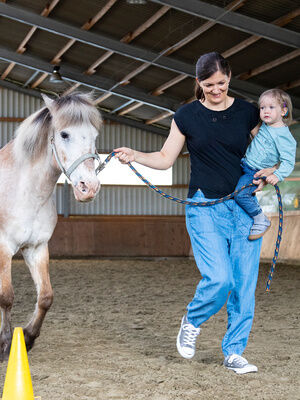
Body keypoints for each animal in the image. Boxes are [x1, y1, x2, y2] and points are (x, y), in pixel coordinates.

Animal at [0, 94, 101, 360]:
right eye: (64, 134)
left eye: (94, 136)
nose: (89, 187)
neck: (23, 189)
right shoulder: (3, 248)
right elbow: (6, 296)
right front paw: (4, 344)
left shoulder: (37, 247)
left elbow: (46, 296)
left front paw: (28, 337)